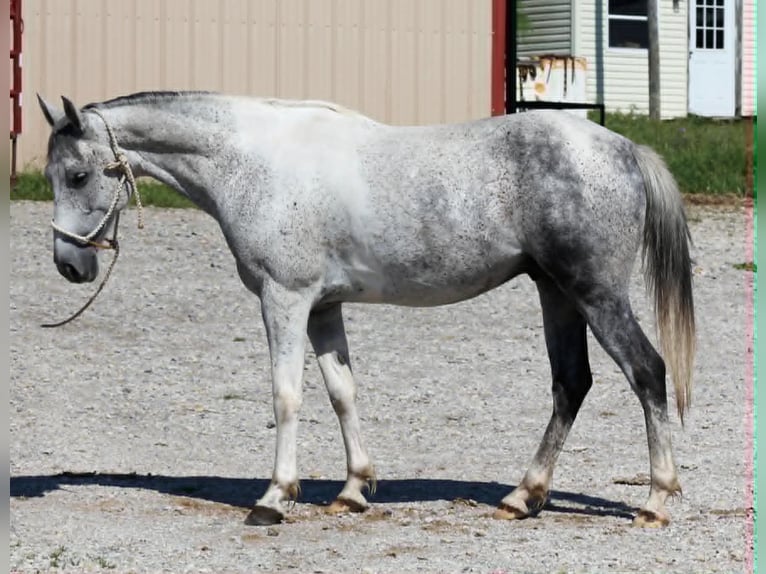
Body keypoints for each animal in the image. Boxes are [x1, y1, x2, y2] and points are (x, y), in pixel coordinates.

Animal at [37, 91, 695, 527]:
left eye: (78, 175)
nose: (69, 264)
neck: (253, 162)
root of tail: (624, 149)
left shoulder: (285, 299)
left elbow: (286, 395)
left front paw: (275, 497)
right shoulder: (323, 309)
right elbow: (341, 392)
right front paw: (353, 489)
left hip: (594, 294)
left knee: (646, 372)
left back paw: (656, 500)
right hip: (556, 293)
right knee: (570, 384)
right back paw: (523, 496)